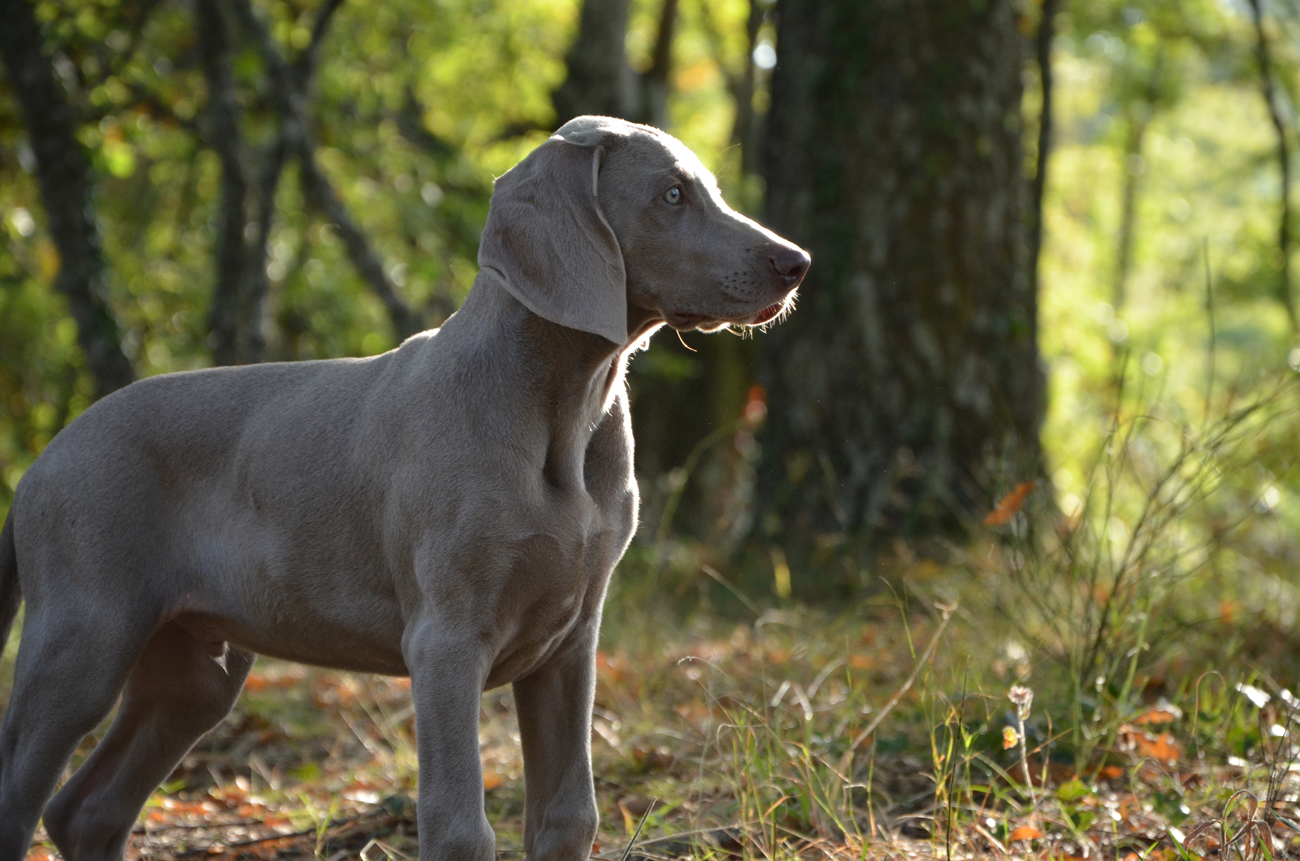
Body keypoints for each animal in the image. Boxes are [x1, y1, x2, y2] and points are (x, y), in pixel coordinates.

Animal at [0, 116, 806, 861]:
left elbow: (569, 815)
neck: (564, 410)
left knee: (86, 808)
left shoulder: (572, 640)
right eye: (671, 195)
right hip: (84, 634)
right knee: (25, 794)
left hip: (194, 668)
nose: (796, 262)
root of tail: (43, 460)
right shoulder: (446, 639)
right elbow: (459, 826)